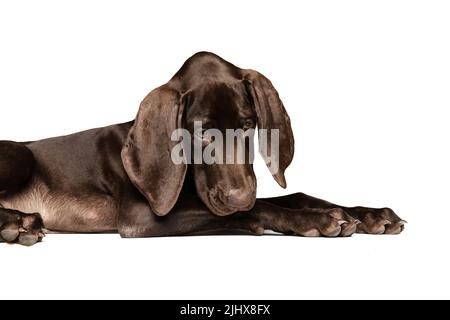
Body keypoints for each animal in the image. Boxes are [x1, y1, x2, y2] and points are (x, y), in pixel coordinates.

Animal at [0, 52, 404, 245]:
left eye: (247, 126)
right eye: (200, 134)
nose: (239, 195)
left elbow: (290, 196)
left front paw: (367, 214)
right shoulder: (140, 219)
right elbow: (254, 211)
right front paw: (315, 221)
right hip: (20, 156)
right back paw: (17, 226)